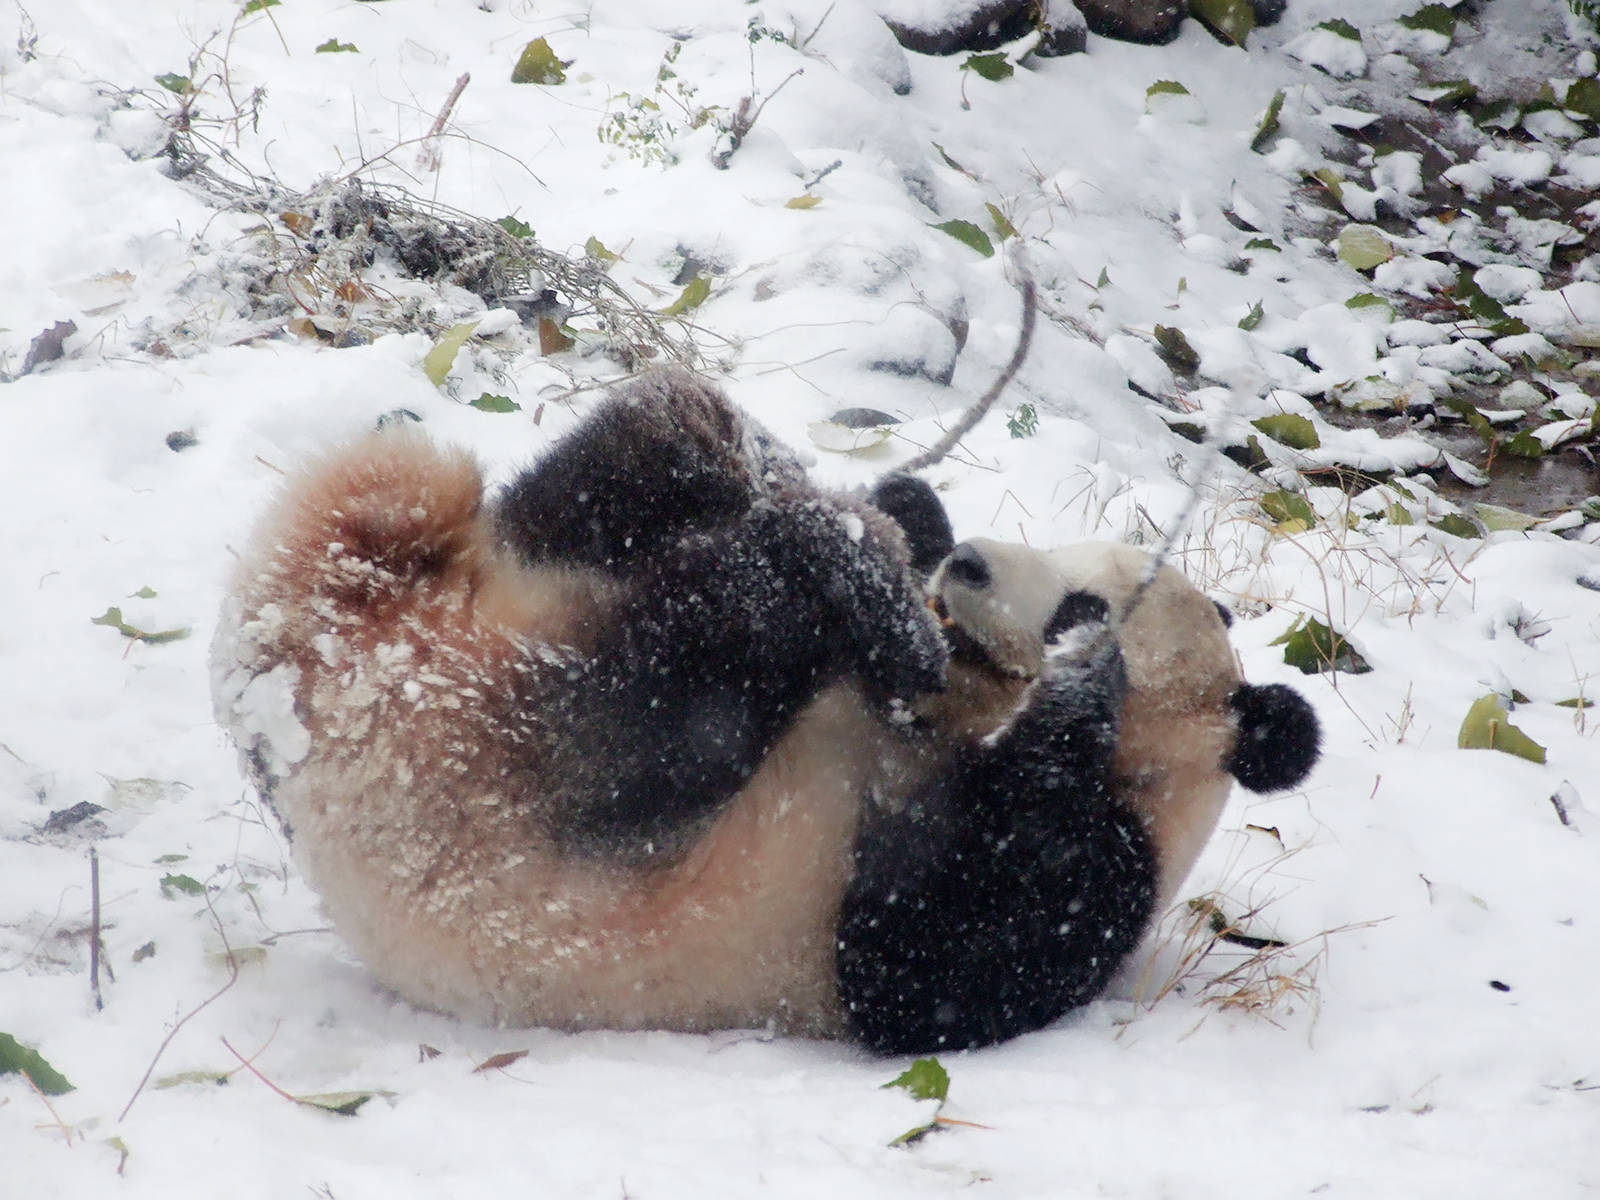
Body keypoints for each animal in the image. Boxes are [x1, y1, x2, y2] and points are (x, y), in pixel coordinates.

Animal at [212, 367, 1320, 1056]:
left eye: (1079, 606)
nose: (968, 566)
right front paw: (917, 513)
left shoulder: (1098, 870)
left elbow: (912, 969)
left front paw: (1071, 679)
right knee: (607, 481)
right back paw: (767, 475)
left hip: (502, 774)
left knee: (688, 662)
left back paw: (824, 555)